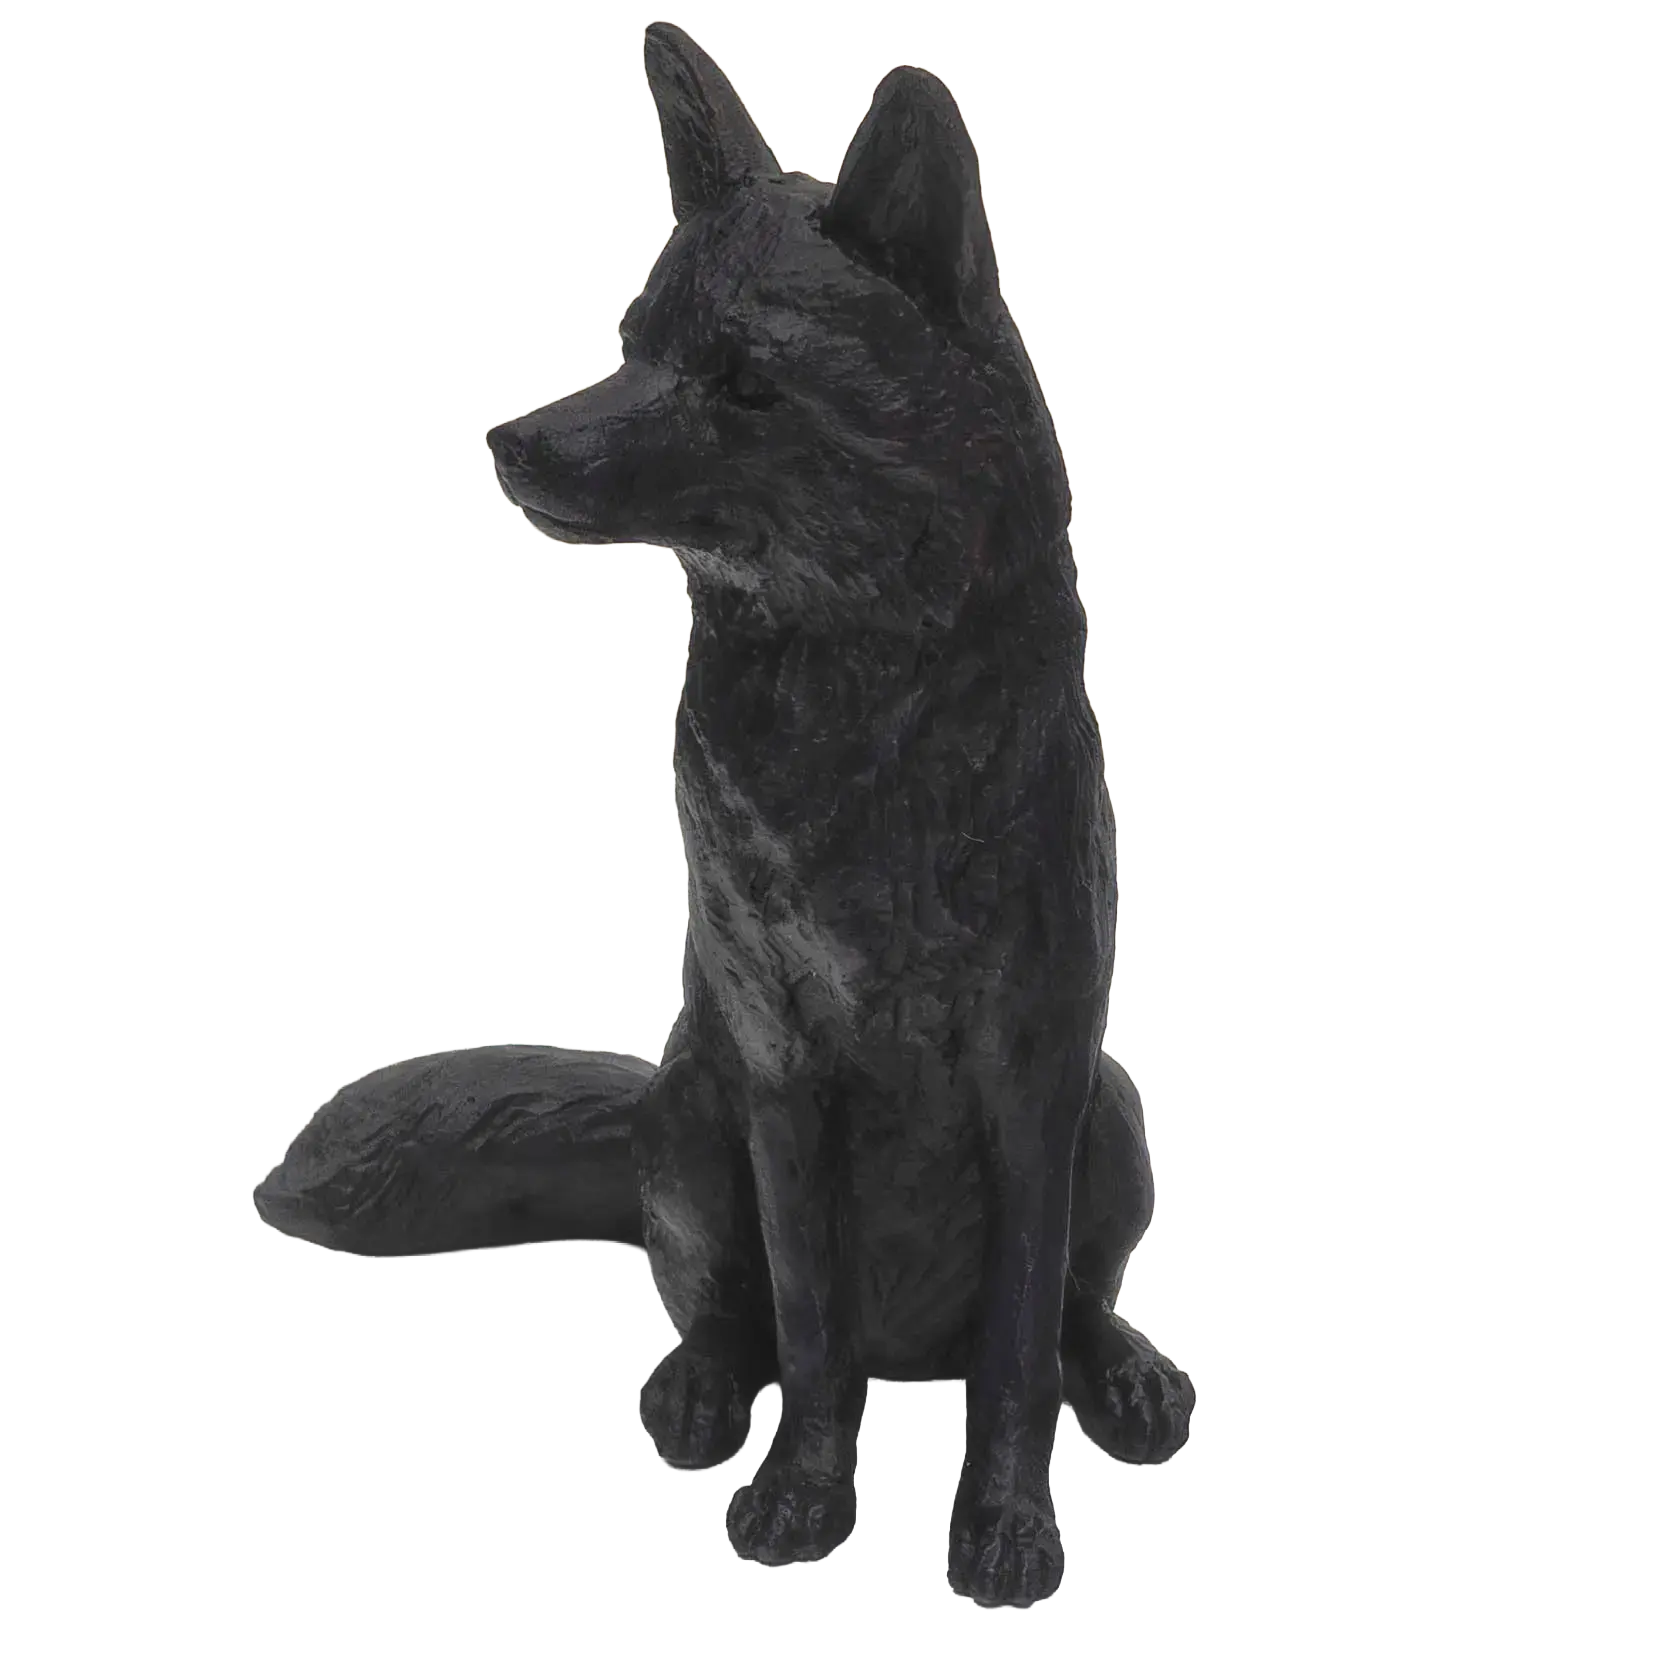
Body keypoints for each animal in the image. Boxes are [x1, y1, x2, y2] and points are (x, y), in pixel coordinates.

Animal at [251, 20, 1195, 1609]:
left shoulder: (1035, 1079)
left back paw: (1124, 1374)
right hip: (689, 1120)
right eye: (633, 339)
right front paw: (802, 1489)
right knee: (718, 1309)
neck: (854, 712)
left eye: (745, 380)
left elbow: (1016, 1349)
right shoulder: (777, 1076)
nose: (509, 441)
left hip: (1111, 1116)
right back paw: (696, 1386)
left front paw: (1006, 1522)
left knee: (1065, 1307)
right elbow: (806, 1328)